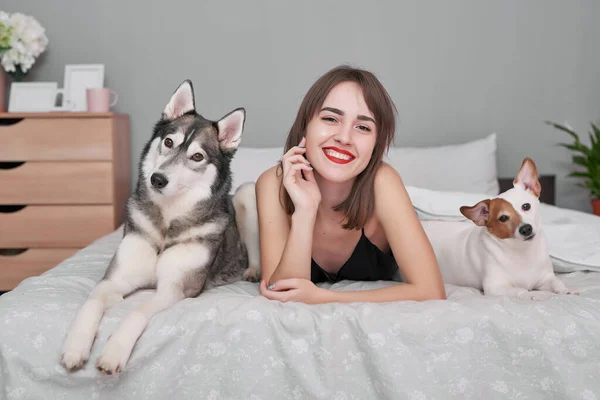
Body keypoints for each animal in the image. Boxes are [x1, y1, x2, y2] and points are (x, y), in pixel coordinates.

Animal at [59, 79, 262, 374]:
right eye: (168, 142)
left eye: (197, 156)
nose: (157, 179)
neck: (167, 223)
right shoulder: (114, 280)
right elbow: (91, 302)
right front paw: (76, 345)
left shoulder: (173, 289)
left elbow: (137, 312)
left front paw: (113, 352)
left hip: (247, 192)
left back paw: (253, 271)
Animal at [420, 157, 580, 300]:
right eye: (503, 218)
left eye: (526, 206)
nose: (526, 229)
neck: (522, 252)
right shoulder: (495, 287)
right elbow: (521, 290)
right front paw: (535, 294)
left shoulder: (545, 278)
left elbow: (557, 283)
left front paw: (567, 291)